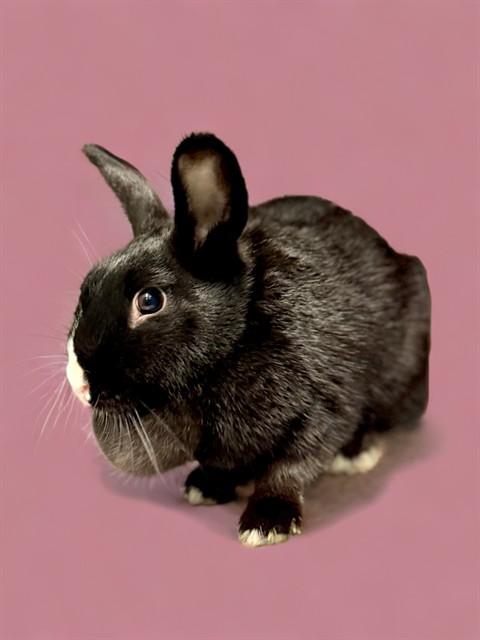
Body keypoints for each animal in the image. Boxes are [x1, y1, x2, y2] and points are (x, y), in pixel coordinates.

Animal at [66, 132, 431, 547]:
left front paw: (267, 523)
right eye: (85, 292)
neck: (226, 354)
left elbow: (290, 467)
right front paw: (207, 487)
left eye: (149, 301)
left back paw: (355, 455)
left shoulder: (324, 408)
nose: (79, 383)